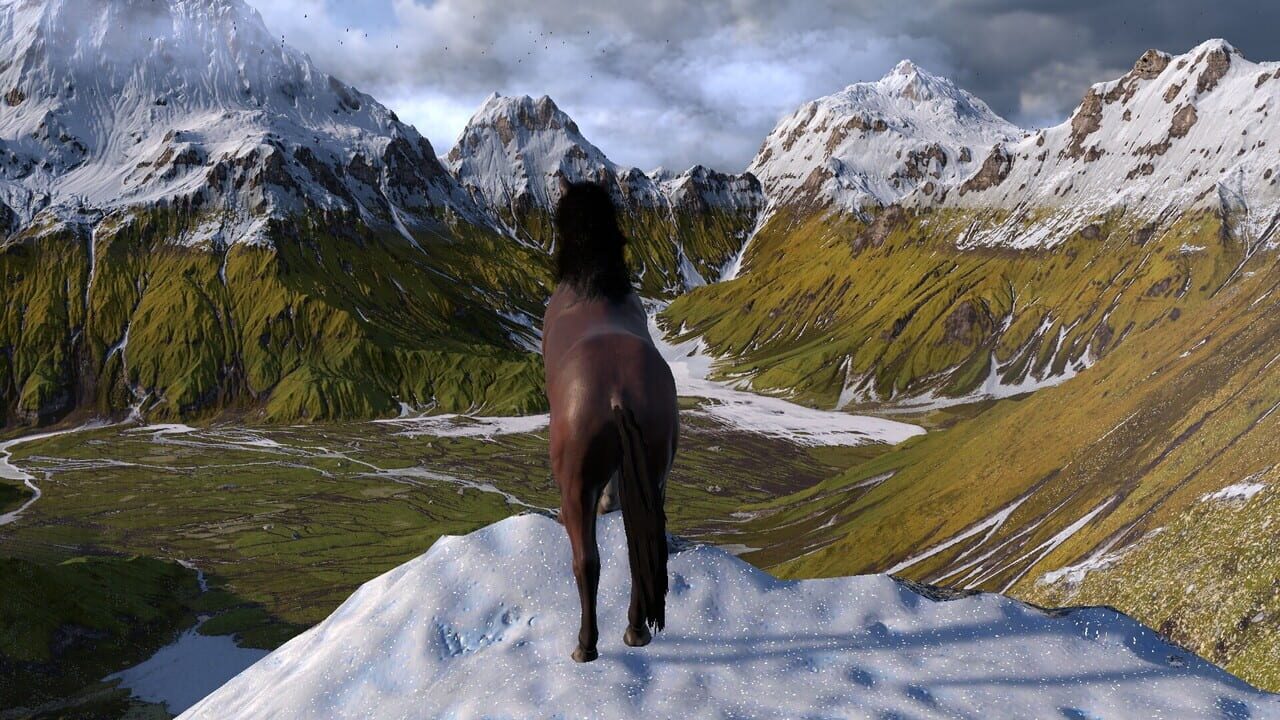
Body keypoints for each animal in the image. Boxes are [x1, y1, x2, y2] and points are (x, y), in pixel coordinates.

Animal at [542, 179, 678, 663]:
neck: (594, 285)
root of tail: (619, 391)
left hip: (575, 483)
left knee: (588, 562)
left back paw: (586, 645)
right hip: (656, 472)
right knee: (645, 548)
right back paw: (636, 631)